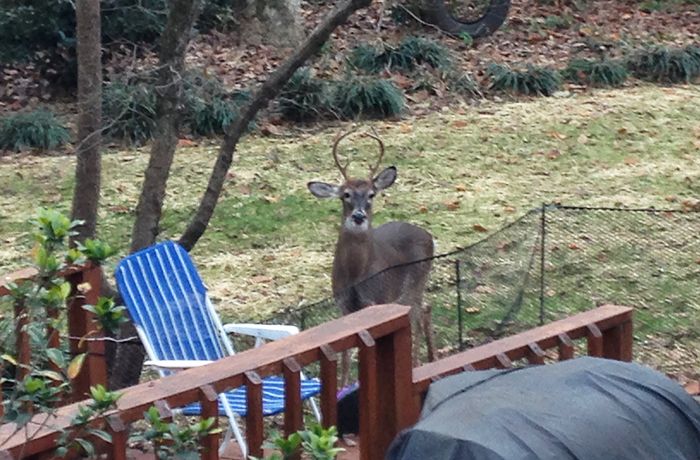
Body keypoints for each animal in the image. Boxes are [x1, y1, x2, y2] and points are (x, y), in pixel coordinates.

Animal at [307, 129, 436, 386]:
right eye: (345, 195)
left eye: (371, 194)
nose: (358, 216)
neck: (357, 275)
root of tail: (428, 235)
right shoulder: (344, 305)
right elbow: (345, 354)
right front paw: (342, 386)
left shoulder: (376, 299)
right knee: (425, 309)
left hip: (416, 282)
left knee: (418, 316)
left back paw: (417, 365)